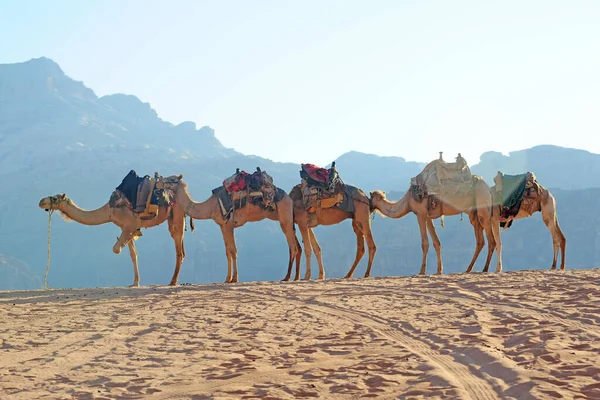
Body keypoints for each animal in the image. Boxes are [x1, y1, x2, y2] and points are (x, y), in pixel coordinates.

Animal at [37, 173, 191, 286]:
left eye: (55, 198)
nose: (41, 201)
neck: (110, 211)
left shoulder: (129, 225)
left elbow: (116, 249)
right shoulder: (126, 226)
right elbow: (133, 255)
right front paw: (135, 283)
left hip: (177, 213)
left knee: (179, 249)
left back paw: (173, 282)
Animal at [368, 153, 504, 276]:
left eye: (371, 198)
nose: (368, 205)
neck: (408, 201)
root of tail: (488, 189)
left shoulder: (420, 214)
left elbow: (425, 243)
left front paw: (422, 271)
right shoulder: (428, 216)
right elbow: (436, 242)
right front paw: (439, 270)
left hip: (483, 209)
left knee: (492, 240)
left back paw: (485, 269)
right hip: (474, 215)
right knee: (480, 241)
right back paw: (468, 269)